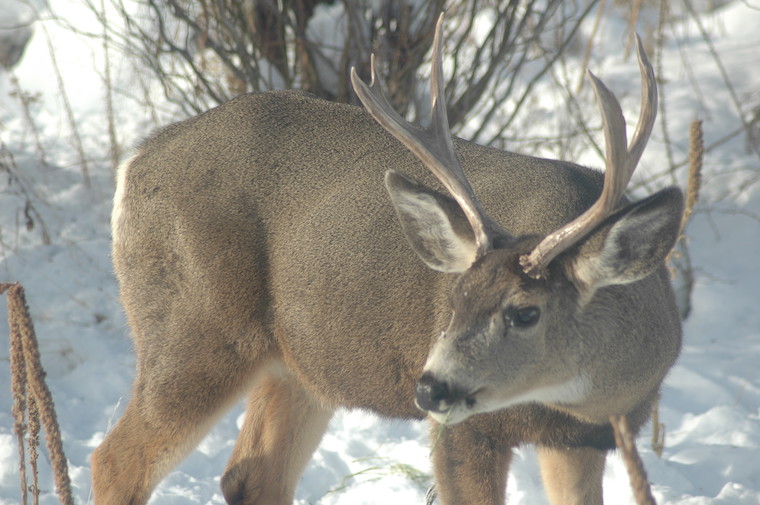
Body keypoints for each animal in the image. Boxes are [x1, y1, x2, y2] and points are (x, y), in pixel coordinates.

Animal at [92, 14, 683, 505]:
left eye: (525, 312)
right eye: (454, 300)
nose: (429, 387)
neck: (585, 399)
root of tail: (136, 160)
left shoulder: (582, 439)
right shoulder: (464, 430)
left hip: (298, 362)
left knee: (250, 476)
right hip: (196, 329)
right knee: (115, 461)